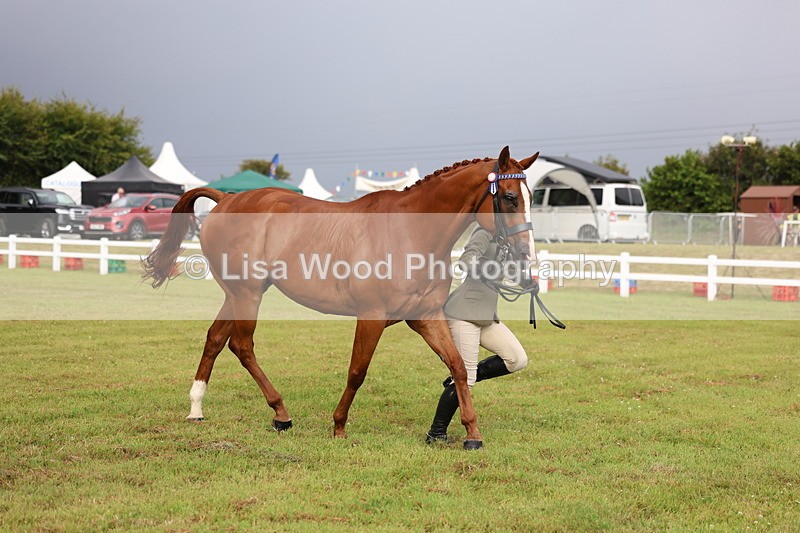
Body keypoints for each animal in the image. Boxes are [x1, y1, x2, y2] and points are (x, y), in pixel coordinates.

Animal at [142, 146, 539, 449]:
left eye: (530, 198)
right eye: (508, 198)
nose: (526, 255)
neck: (411, 231)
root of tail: (227, 198)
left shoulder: (424, 317)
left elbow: (457, 367)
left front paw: (472, 432)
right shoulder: (372, 317)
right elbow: (357, 371)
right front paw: (338, 425)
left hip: (240, 294)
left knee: (215, 338)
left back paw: (197, 408)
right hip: (247, 294)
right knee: (241, 345)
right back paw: (281, 413)